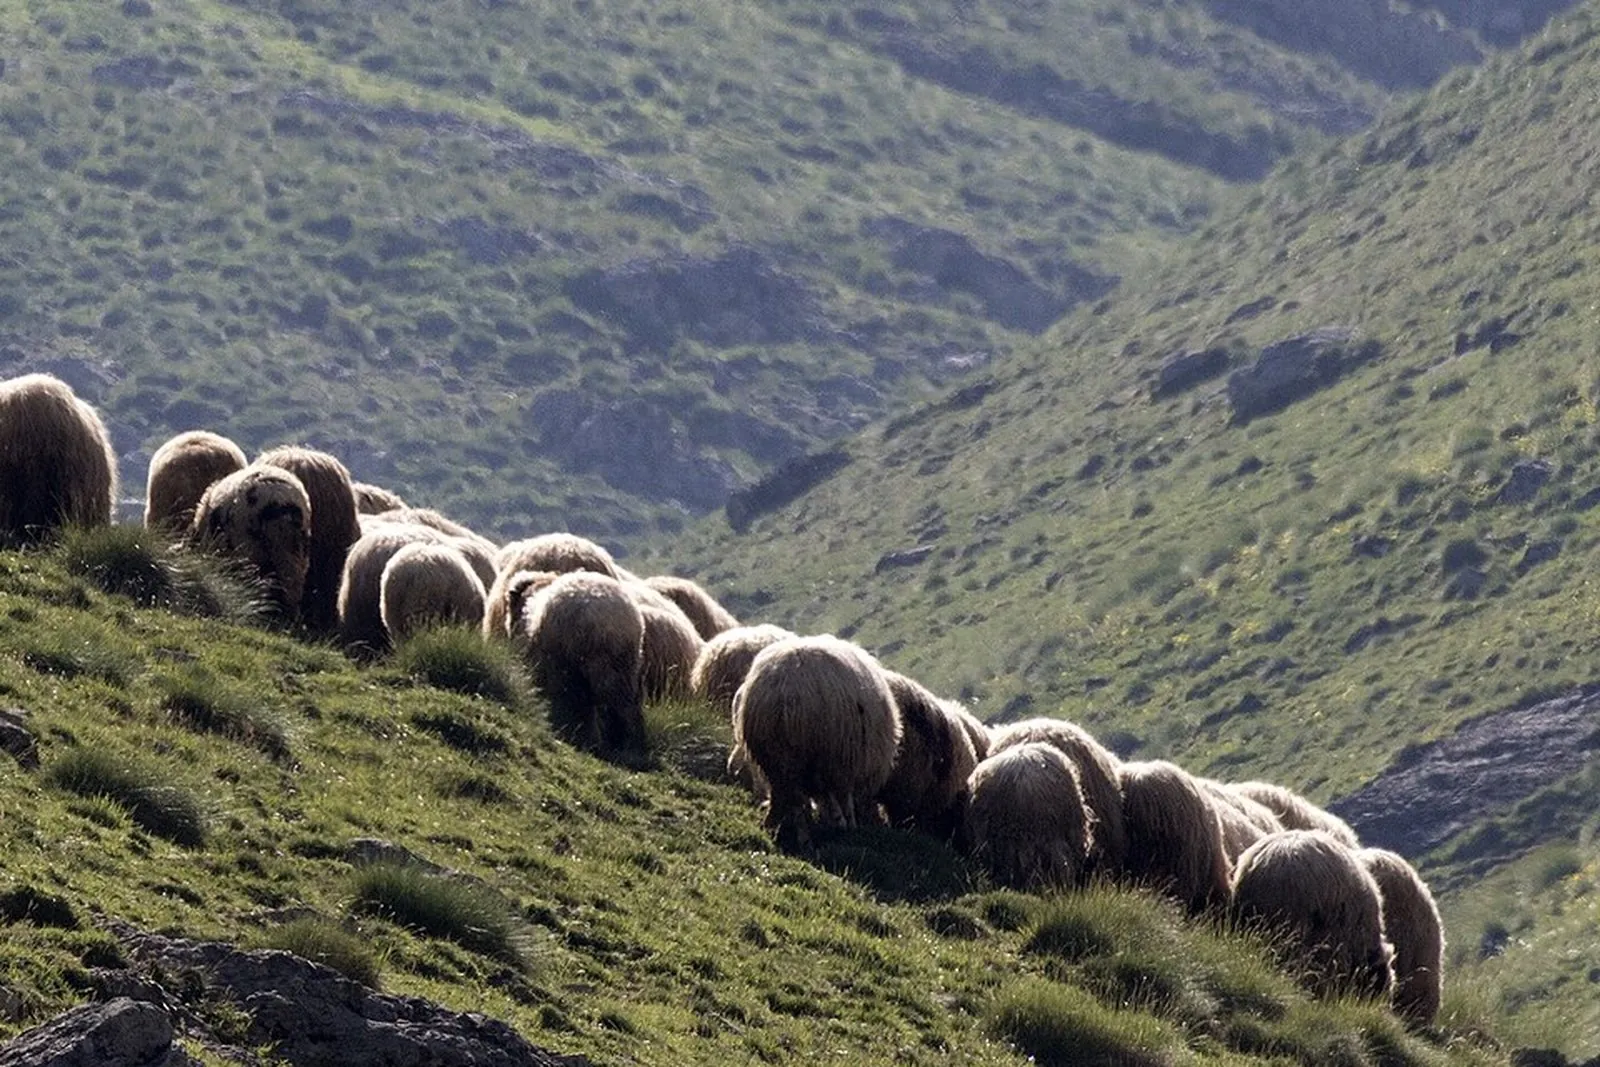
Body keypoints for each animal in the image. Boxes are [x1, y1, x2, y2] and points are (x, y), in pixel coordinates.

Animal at [730, 635, 901, 847]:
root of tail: (785, 691)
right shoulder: (845, 763)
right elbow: (843, 798)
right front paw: (845, 823)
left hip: (778, 756)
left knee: (789, 797)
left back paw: (780, 828)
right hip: (820, 751)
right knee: (800, 799)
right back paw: (807, 837)